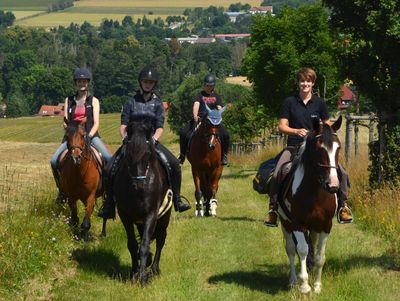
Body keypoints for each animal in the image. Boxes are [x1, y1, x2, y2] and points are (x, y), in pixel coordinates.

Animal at [112, 115, 172, 284]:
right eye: (128, 156)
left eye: (147, 155)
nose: (139, 185)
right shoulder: (125, 215)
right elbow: (133, 245)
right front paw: (134, 272)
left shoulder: (151, 214)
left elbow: (144, 245)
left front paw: (143, 277)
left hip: (165, 216)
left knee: (161, 239)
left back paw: (154, 269)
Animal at [276, 115, 342, 292]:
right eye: (320, 149)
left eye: (338, 148)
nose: (333, 186)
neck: (315, 193)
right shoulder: (297, 224)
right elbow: (302, 250)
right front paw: (305, 285)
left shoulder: (326, 226)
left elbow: (319, 256)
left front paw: (317, 285)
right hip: (285, 223)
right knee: (291, 250)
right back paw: (293, 281)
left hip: (314, 228)